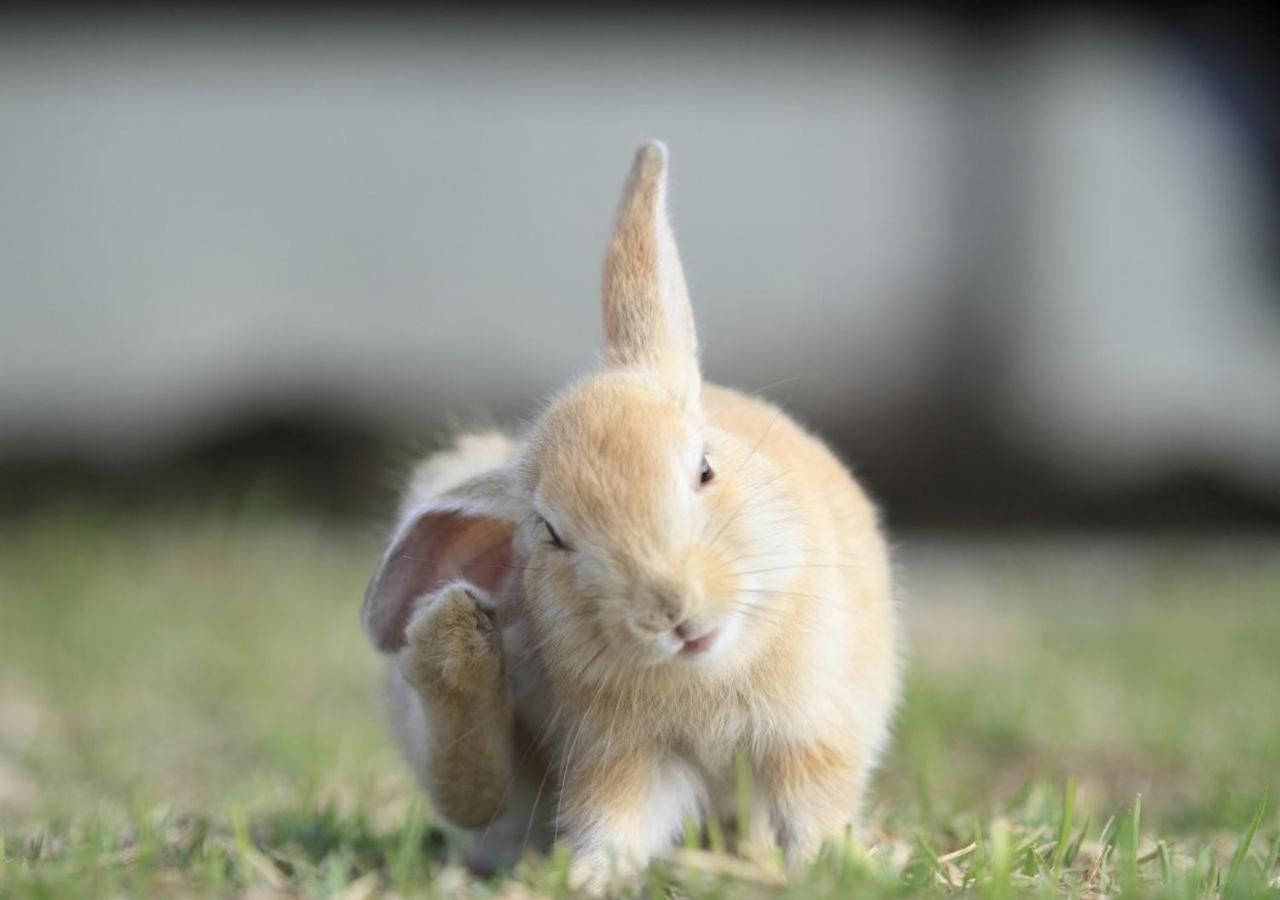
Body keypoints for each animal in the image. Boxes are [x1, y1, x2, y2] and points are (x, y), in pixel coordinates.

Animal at [360, 144, 901, 891]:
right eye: (553, 535)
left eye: (703, 470)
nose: (671, 611)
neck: (707, 672)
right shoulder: (622, 758)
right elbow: (617, 822)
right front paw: (591, 880)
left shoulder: (812, 734)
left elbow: (812, 809)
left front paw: (833, 866)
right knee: (474, 795)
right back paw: (449, 641)